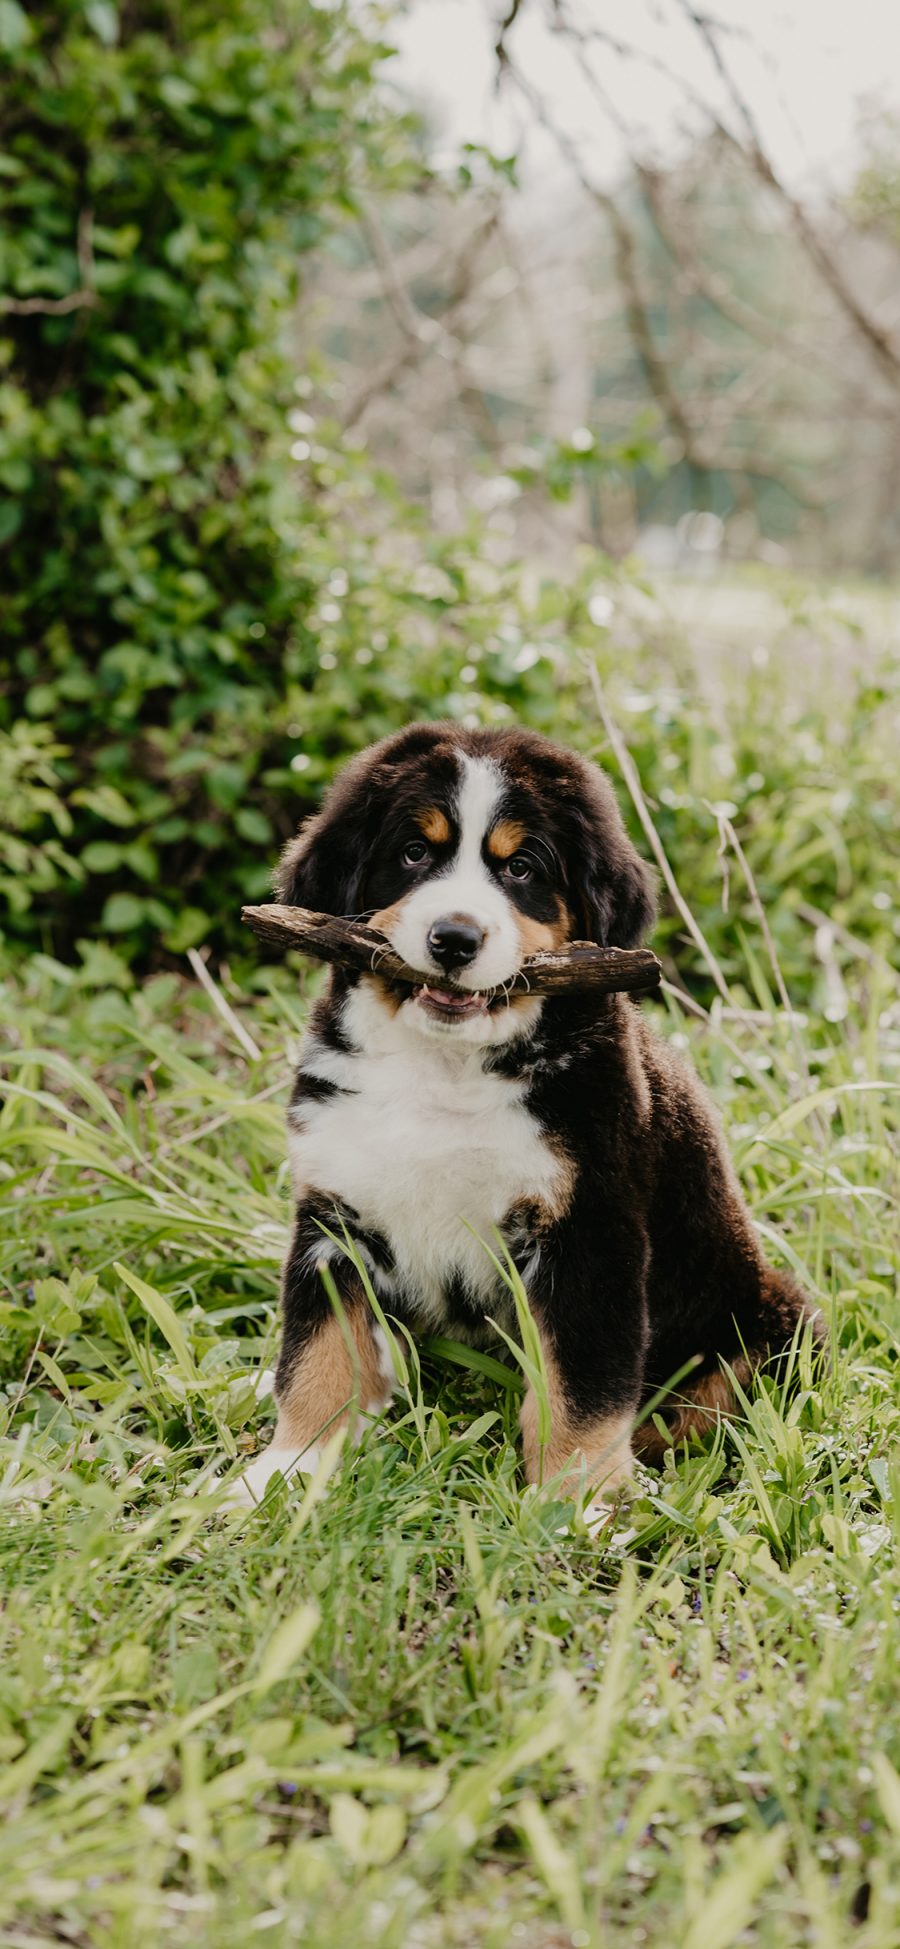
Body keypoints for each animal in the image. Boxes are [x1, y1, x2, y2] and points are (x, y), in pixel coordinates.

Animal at [237, 721, 822, 1520]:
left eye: (520, 868)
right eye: (414, 852)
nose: (454, 938)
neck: (443, 1069)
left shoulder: (587, 1231)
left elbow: (580, 1384)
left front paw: (579, 1503)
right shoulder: (335, 1215)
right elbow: (318, 1354)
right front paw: (286, 1469)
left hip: (770, 1317)